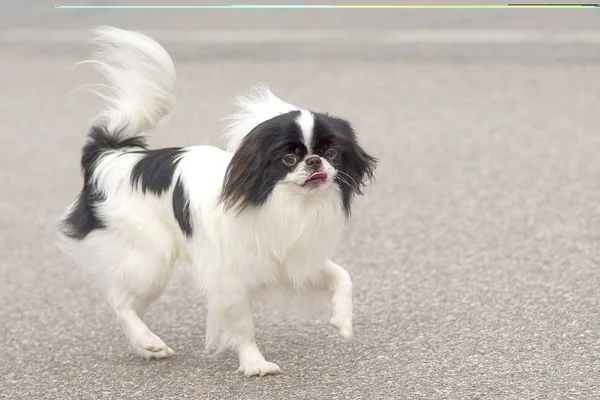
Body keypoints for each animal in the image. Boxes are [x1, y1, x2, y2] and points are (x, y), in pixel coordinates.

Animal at [56, 26, 376, 376]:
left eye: (330, 152)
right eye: (289, 158)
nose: (315, 161)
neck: (287, 204)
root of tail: (113, 156)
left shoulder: (295, 260)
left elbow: (342, 276)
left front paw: (342, 322)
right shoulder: (230, 279)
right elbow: (244, 327)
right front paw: (255, 364)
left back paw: (146, 347)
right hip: (150, 260)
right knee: (120, 300)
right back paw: (148, 341)